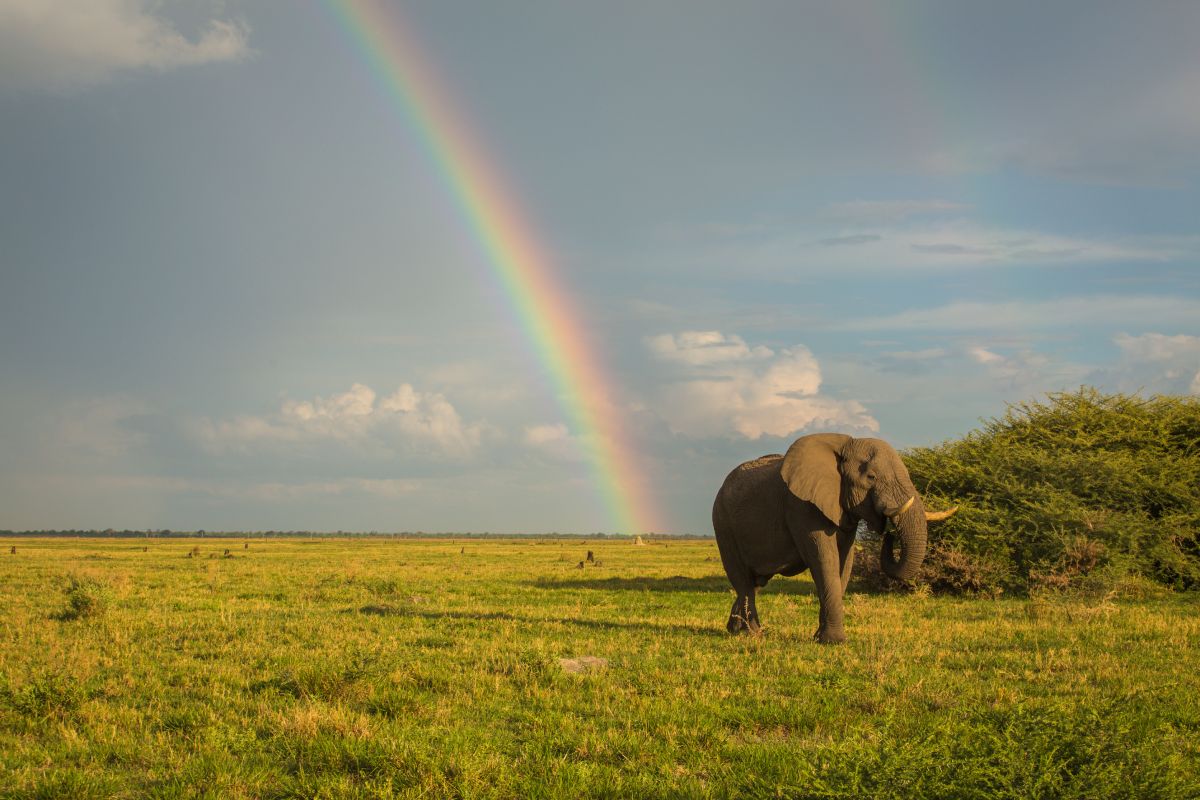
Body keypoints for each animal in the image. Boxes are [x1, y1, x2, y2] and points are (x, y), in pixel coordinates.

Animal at [710, 431, 955, 642]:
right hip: (723, 523)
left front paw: (821, 637)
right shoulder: (801, 506)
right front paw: (833, 641)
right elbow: (825, 560)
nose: (889, 534)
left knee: (755, 583)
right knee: (742, 578)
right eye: (871, 477)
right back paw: (752, 633)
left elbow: (843, 563)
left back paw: (734, 629)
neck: (844, 444)